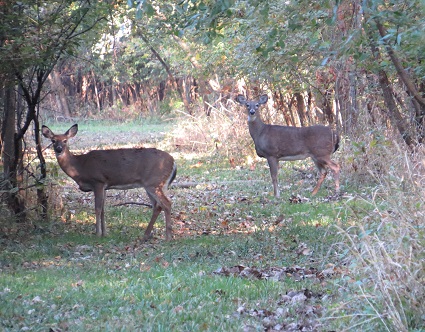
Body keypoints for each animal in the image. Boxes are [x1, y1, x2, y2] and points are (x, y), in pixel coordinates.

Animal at [41, 124, 177, 241]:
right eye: (53, 140)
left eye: (65, 140)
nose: (59, 149)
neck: (80, 167)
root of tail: (173, 162)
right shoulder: (105, 186)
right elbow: (103, 209)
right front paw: (104, 233)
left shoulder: (98, 181)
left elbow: (97, 208)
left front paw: (97, 233)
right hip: (156, 184)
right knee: (157, 206)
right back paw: (146, 235)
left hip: (153, 182)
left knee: (166, 204)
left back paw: (168, 237)